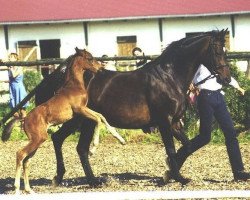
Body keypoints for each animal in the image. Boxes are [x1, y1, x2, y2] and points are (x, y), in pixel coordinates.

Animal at [13, 48, 124, 194]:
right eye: (89, 58)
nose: (100, 68)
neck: (73, 85)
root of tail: (25, 119)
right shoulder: (80, 110)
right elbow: (98, 119)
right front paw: (93, 148)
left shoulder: (85, 109)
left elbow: (101, 116)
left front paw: (120, 139)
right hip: (38, 139)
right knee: (20, 154)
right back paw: (17, 189)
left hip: (37, 140)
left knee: (26, 160)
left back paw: (29, 189)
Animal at [35, 29, 230, 186]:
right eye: (217, 51)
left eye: (225, 50)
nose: (226, 78)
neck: (169, 77)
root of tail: (62, 78)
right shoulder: (164, 122)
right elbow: (171, 149)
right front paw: (178, 178)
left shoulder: (174, 123)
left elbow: (187, 147)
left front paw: (167, 174)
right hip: (82, 121)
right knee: (73, 145)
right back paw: (89, 181)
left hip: (81, 121)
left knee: (65, 141)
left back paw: (65, 178)